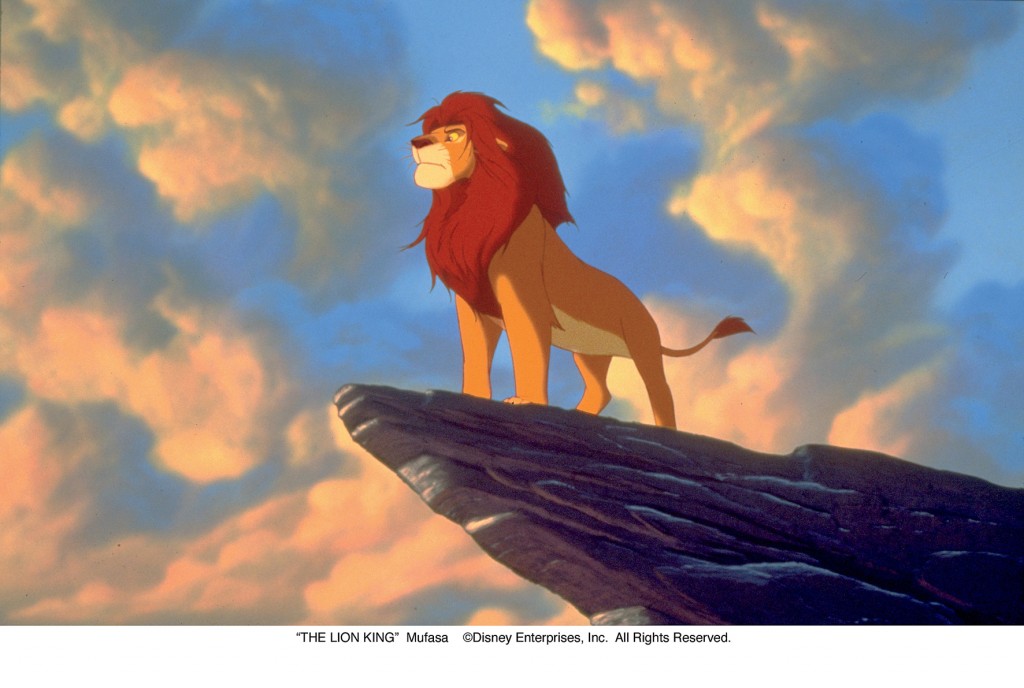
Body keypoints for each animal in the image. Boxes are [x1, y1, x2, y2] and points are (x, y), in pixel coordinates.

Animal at [407, 92, 751, 429]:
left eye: (454, 134)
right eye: (432, 130)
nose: (417, 142)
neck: (467, 206)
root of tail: (643, 309)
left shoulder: (524, 294)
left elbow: (528, 347)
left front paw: (525, 400)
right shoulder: (474, 305)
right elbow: (475, 355)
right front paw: (472, 396)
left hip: (642, 346)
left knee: (661, 392)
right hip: (589, 353)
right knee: (602, 391)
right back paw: (579, 414)